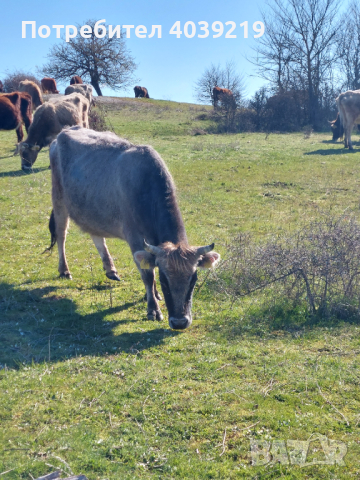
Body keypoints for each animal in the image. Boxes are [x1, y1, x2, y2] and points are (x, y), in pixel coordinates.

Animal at [45, 126, 219, 330]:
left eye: (194, 279)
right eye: (165, 280)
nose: (180, 322)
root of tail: (65, 131)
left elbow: (149, 266)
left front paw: (153, 295)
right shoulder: (135, 238)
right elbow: (147, 275)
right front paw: (153, 308)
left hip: (91, 208)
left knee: (97, 236)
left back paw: (110, 270)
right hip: (58, 199)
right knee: (61, 235)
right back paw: (64, 270)